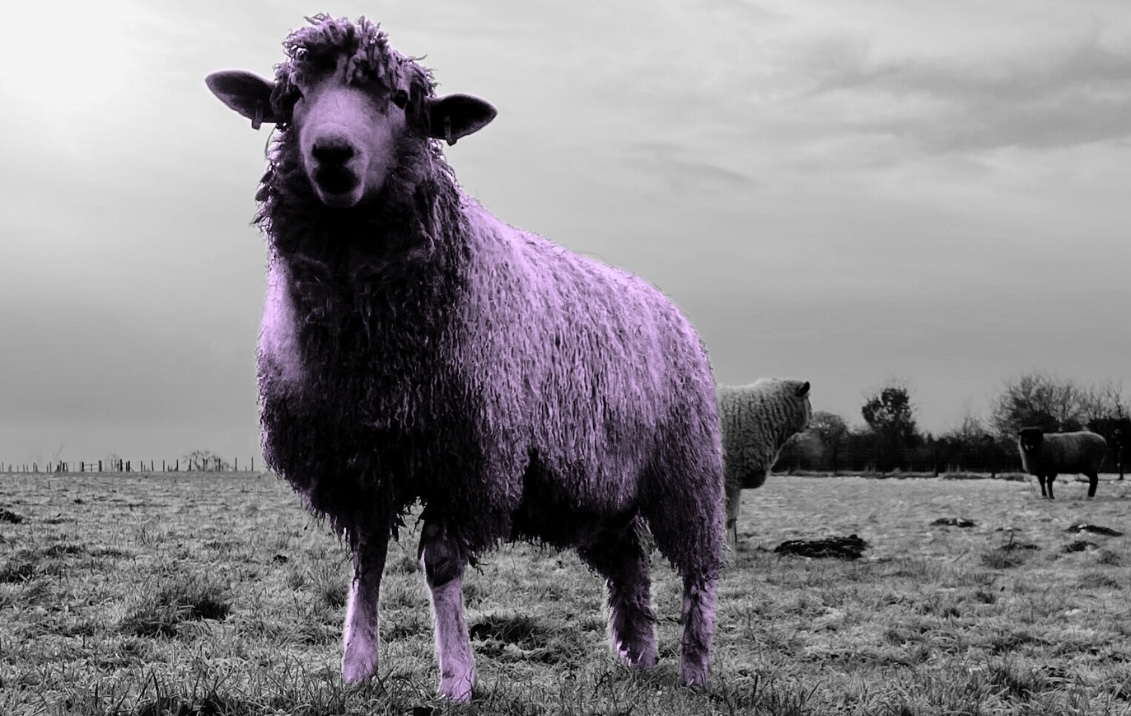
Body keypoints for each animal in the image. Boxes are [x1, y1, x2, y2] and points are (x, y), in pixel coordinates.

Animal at [205, 15, 724, 702]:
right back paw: (638, 657)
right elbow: (367, 559)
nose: (333, 154)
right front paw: (357, 666)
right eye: (291, 99)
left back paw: (695, 666)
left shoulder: (469, 459)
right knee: (629, 565)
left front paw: (456, 676)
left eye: (401, 100)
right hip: (600, 490)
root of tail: (665, 302)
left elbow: (441, 562)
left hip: (687, 470)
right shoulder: (358, 461)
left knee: (697, 570)